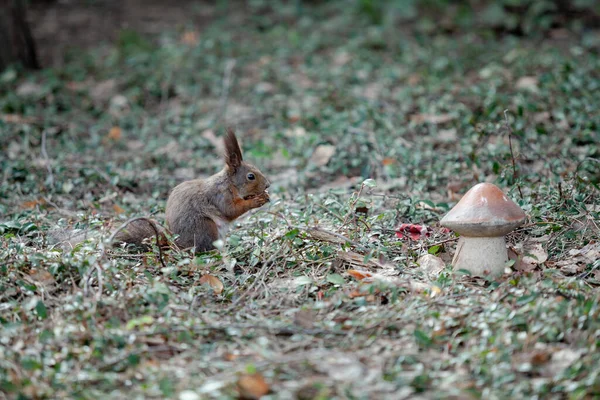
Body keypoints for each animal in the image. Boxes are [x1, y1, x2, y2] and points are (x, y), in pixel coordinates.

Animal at [113, 129, 272, 253]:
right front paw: (256, 201)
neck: (229, 184)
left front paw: (263, 196)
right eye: (250, 176)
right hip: (205, 227)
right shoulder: (219, 196)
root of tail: (175, 244)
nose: (267, 185)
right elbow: (230, 210)